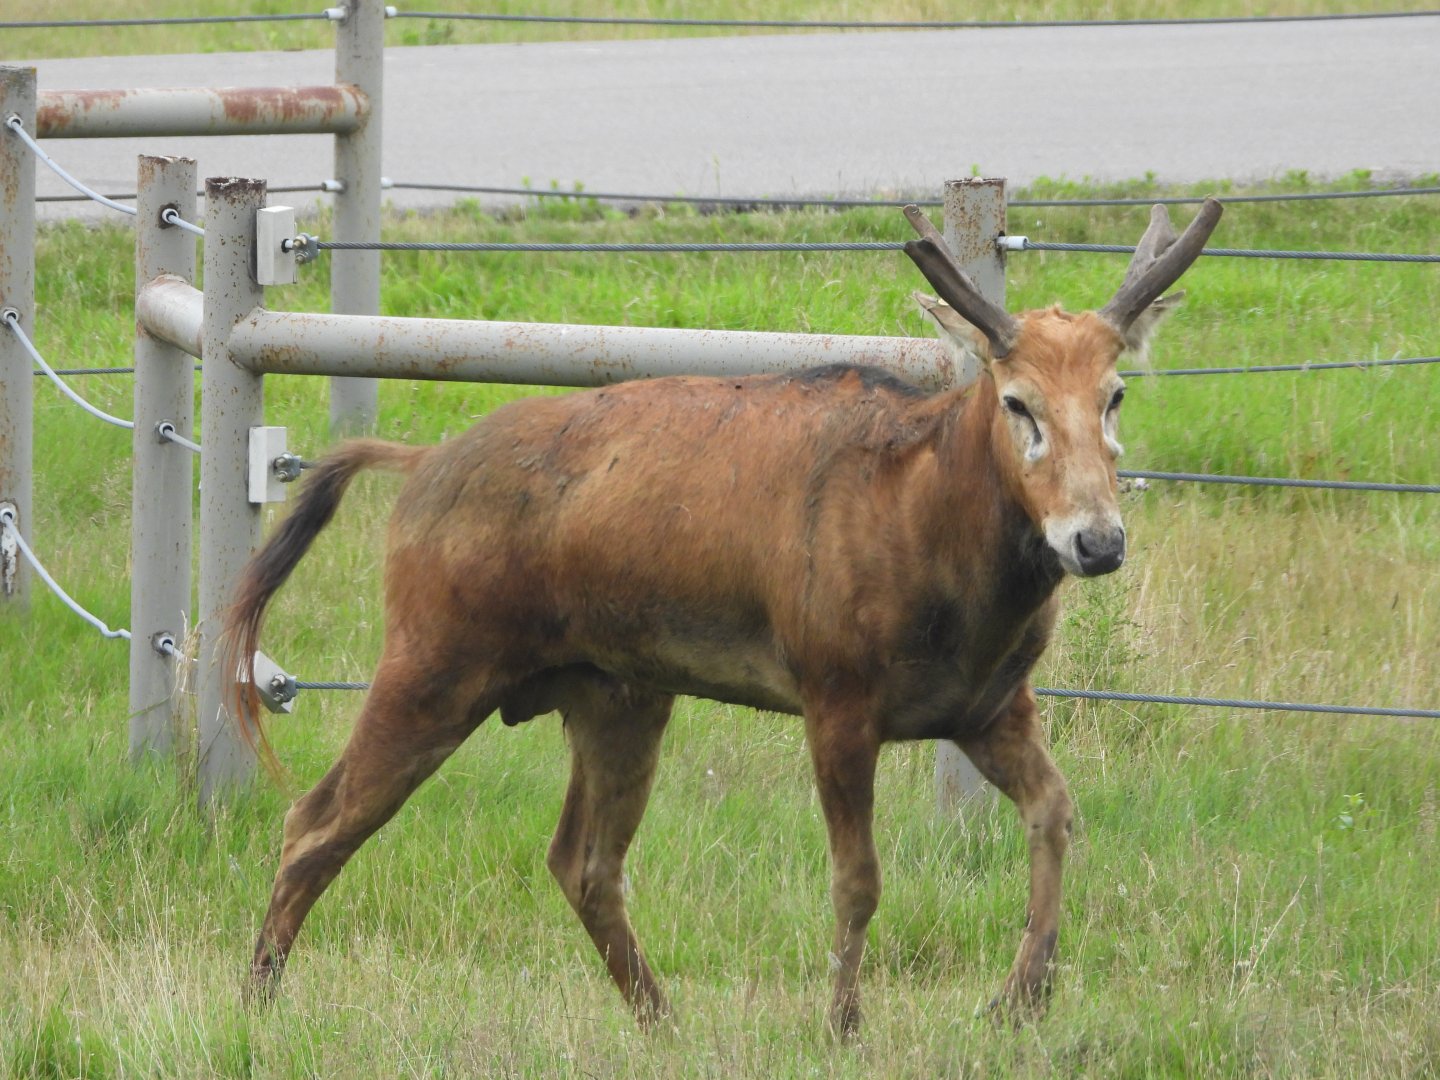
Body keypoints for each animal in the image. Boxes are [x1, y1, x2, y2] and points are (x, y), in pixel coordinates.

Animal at [230, 198, 1221, 1036]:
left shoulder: (990, 705)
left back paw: (663, 1021)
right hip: (436, 651)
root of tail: (416, 464)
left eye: (1115, 394)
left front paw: (1021, 997)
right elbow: (857, 880)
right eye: (1018, 403)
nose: (1097, 540)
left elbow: (1057, 813)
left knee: (582, 861)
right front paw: (842, 1025)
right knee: (313, 819)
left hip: (617, 692)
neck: (953, 572)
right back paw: (258, 1000)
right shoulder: (834, 690)